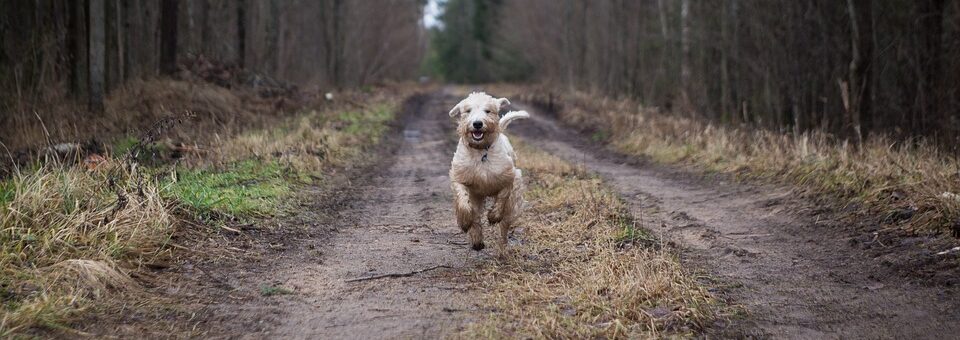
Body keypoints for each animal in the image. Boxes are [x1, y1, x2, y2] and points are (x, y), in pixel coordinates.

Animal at [448, 91, 528, 251]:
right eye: (468, 110)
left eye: (488, 110)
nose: (477, 123)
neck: (481, 152)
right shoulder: (460, 177)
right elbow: (464, 201)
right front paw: (464, 222)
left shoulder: (510, 176)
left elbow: (503, 196)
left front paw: (493, 216)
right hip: (477, 197)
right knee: (476, 216)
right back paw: (477, 240)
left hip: (512, 204)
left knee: (505, 225)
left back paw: (503, 248)